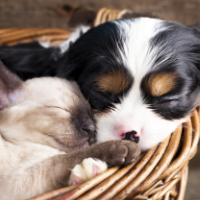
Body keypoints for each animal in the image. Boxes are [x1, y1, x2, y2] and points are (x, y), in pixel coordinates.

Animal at [0, 61, 139, 200]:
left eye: (90, 112)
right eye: (63, 110)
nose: (91, 128)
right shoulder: (19, 181)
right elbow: (69, 157)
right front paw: (127, 147)